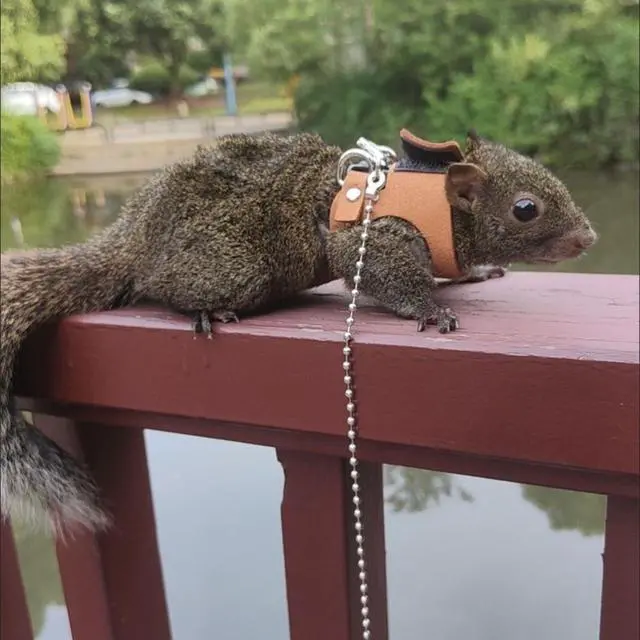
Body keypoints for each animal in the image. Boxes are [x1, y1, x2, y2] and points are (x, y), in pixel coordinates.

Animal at [0, 129, 597, 536]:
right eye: (525, 209)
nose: (588, 238)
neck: (439, 203)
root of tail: (136, 235)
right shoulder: (371, 236)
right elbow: (382, 274)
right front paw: (428, 308)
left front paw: (475, 273)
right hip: (232, 266)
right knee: (156, 285)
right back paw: (204, 310)